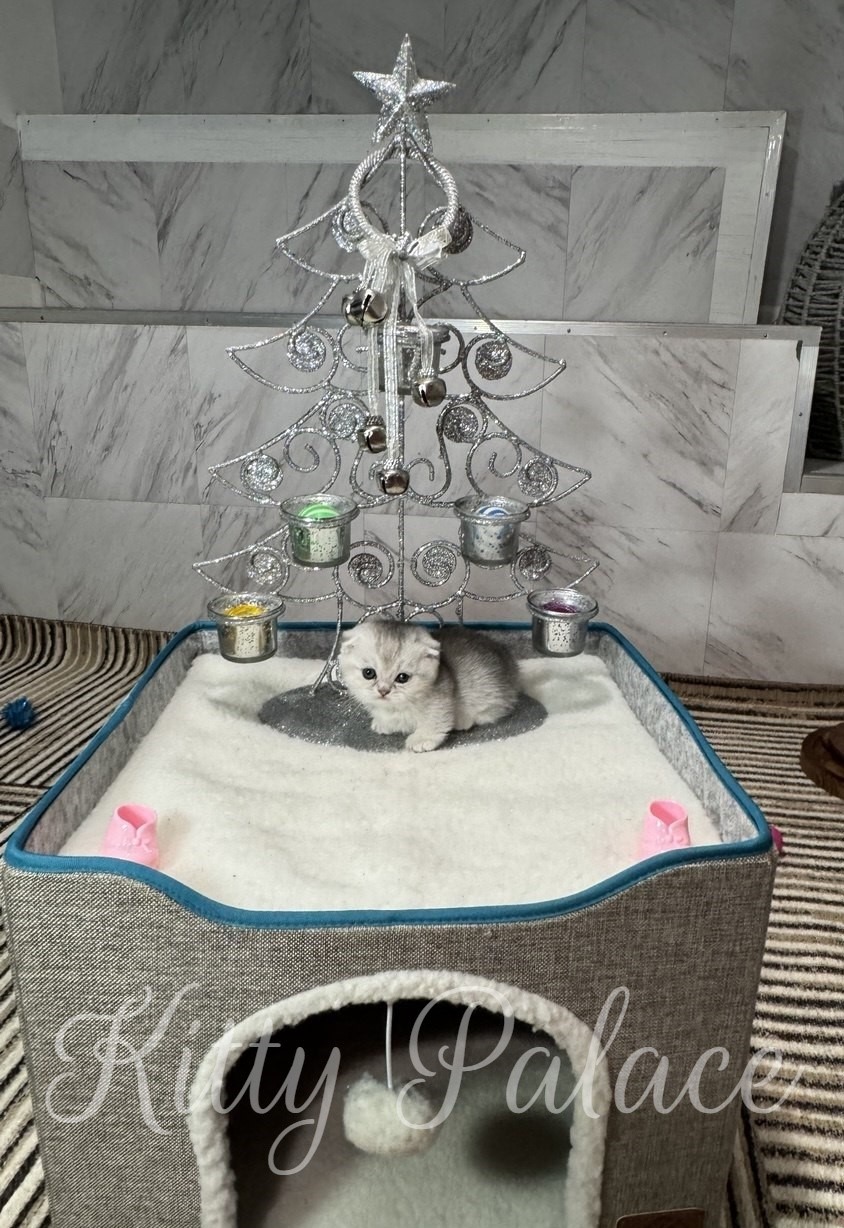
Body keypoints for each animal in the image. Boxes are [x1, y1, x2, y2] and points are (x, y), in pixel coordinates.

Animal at [339, 619, 520, 752]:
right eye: (368, 673)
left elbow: (434, 720)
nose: (383, 691)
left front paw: (422, 739)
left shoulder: (441, 698)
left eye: (402, 677)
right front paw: (385, 723)